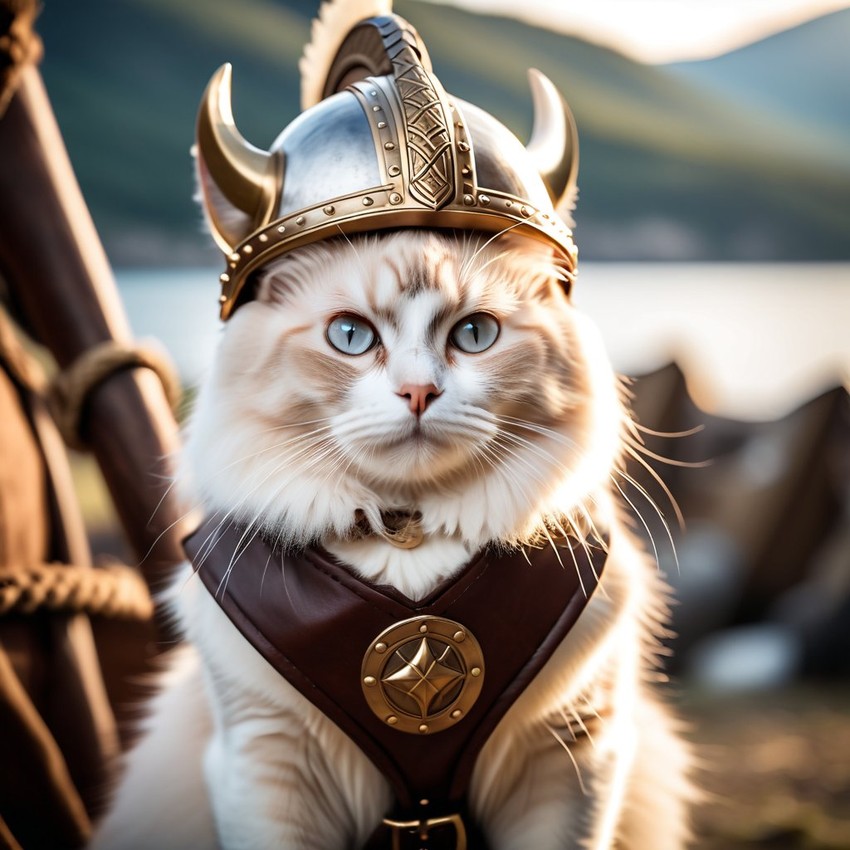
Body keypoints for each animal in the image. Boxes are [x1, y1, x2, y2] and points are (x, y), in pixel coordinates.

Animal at [89, 229, 692, 844]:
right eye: (350, 336)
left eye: (475, 335)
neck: (407, 530)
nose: (418, 391)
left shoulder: (571, 753)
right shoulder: (264, 757)